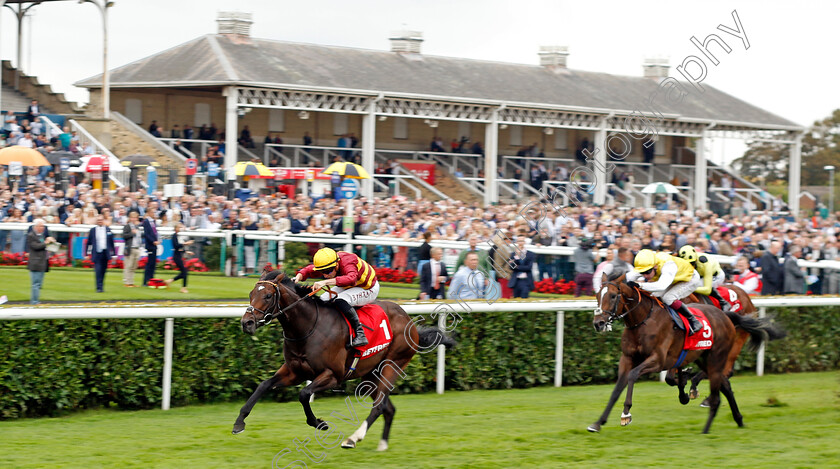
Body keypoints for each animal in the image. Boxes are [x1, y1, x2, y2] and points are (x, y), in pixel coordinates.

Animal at [231, 268, 452, 452]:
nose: (246, 323)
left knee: (379, 406)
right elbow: (263, 385)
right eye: (251, 294)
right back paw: (382, 444)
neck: (308, 327)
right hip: (370, 375)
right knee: (388, 408)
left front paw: (320, 423)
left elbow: (304, 394)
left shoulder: (333, 375)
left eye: (268, 295)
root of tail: (409, 321)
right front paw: (239, 422)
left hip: (393, 365)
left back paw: (353, 439)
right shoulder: (294, 371)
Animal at [588, 274, 784, 432]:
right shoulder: (627, 358)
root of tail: (727, 314)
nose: (598, 323)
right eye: (597, 295)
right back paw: (738, 419)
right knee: (725, 383)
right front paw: (598, 423)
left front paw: (626, 413)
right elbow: (617, 388)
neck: (643, 321)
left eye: (613, 296)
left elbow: (634, 375)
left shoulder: (658, 360)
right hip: (703, 357)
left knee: (725, 373)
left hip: (726, 348)